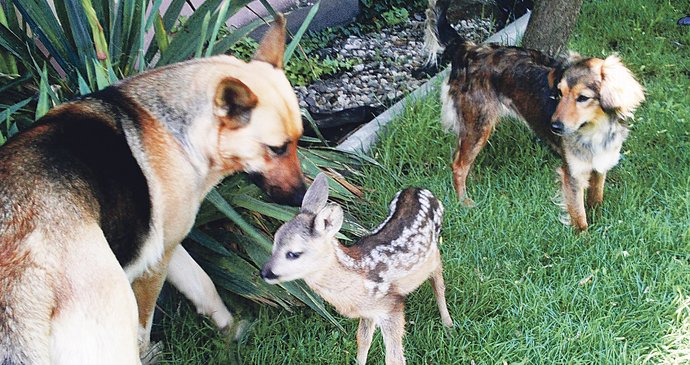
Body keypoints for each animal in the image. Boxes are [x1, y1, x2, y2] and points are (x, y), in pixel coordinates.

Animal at [1, 14, 304, 364]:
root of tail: (22, 285)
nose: (301, 197)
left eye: (298, 140)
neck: (179, 131)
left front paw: (230, 330)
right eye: (278, 149)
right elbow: (146, 327)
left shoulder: (168, 244)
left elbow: (203, 284)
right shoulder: (155, 262)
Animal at [422, 1, 644, 230]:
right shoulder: (572, 173)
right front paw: (585, 235)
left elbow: (596, 198)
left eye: (583, 98)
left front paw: (601, 221)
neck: (595, 129)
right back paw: (464, 201)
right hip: (478, 124)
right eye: (559, 93)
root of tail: (469, 48)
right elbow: (579, 217)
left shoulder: (600, 164)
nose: (554, 127)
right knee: (458, 164)